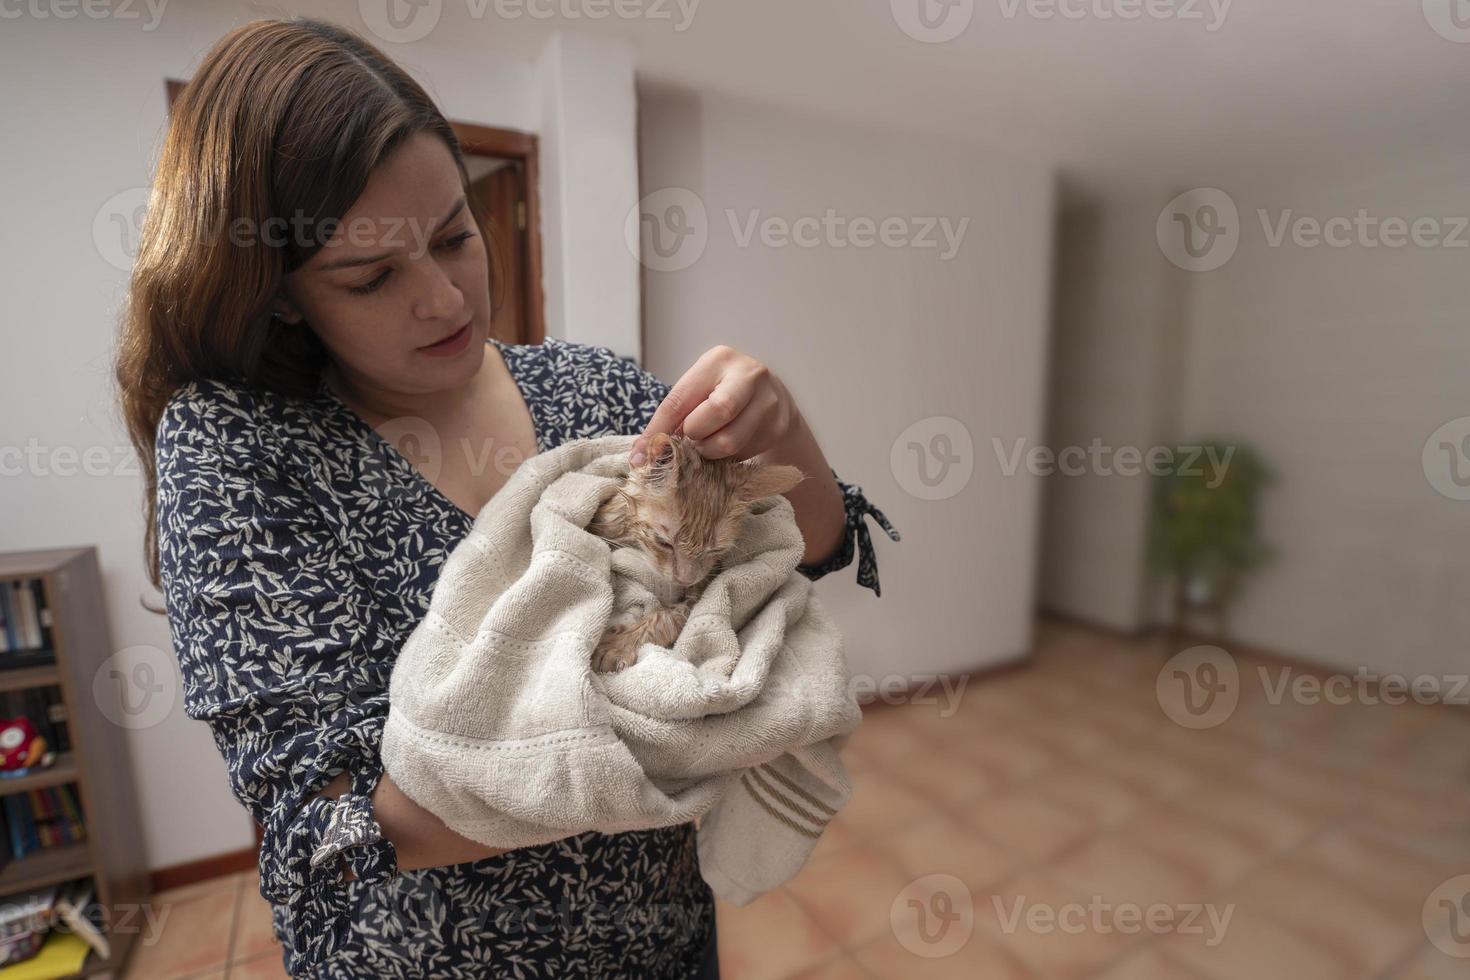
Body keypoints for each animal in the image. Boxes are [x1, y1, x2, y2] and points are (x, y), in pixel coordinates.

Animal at [585, 434, 805, 675]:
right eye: (664, 543)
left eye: (716, 550)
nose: (684, 580)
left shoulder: (703, 585)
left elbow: (671, 616)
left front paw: (619, 645)